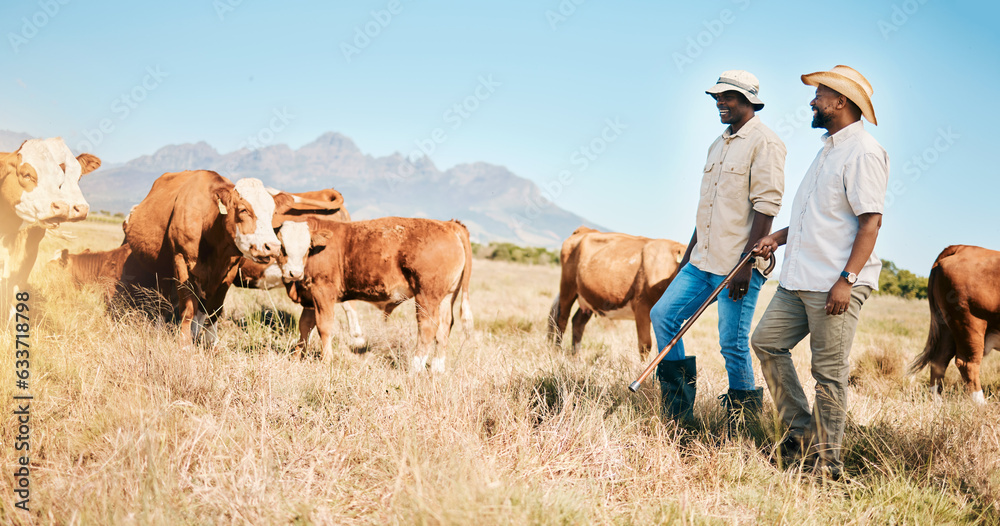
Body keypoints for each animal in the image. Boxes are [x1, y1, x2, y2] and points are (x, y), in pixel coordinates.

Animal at [124, 171, 288, 348]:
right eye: (243, 210)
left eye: (272, 214)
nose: (273, 247)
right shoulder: (181, 261)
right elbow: (188, 307)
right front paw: (185, 343)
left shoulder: (229, 271)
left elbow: (214, 309)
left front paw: (211, 343)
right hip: (160, 270)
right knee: (162, 301)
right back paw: (161, 330)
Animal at [286, 217, 472, 374]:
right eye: (283, 247)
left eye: (305, 248)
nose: (294, 272)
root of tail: (449, 224)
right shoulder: (310, 298)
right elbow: (305, 326)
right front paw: (296, 358)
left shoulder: (322, 291)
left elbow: (323, 326)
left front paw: (326, 361)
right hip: (447, 297)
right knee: (444, 327)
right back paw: (437, 369)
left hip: (426, 295)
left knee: (428, 326)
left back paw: (415, 368)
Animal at [548, 227, 688, 358]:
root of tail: (585, 230)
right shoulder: (641, 306)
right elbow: (645, 345)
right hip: (567, 288)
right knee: (561, 321)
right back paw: (557, 353)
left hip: (588, 299)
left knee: (577, 322)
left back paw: (576, 356)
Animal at [912, 245, 996, 406]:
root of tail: (963, 247)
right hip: (969, 322)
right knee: (967, 363)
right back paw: (980, 404)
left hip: (947, 326)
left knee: (939, 360)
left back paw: (938, 401)